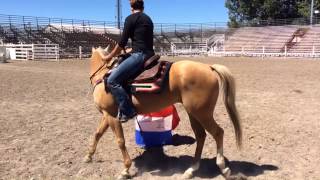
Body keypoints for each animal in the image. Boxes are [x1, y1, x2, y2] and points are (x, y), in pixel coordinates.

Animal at [85, 47, 242, 179]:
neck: (103, 77)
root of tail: (209, 67)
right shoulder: (107, 115)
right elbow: (98, 134)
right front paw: (88, 156)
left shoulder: (112, 116)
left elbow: (120, 141)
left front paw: (125, 170)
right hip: (193, 113)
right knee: (201, 135)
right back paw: (191, 170)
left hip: (203, 113)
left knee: (218, 132)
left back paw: (223, 168)